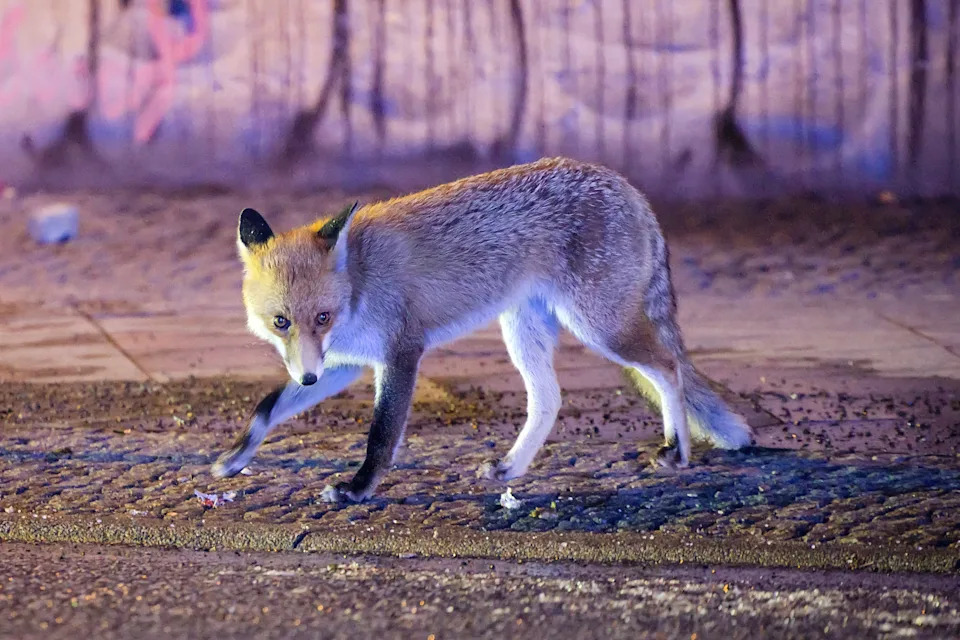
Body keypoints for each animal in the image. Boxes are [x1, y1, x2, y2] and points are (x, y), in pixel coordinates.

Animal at [211, 157, 752, 502]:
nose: (306, 378)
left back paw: (677, 451)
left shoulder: (400, 352)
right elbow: (266, 409)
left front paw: (359, 489)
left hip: (600, 327)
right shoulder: (342, 364)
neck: (359, 282)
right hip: (524, 329)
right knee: (550, 399)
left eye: (321, 317)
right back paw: (512, 467)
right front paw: (234, 459)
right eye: (281, 322)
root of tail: (628, 186)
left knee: (667, 366)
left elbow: (380, 437)